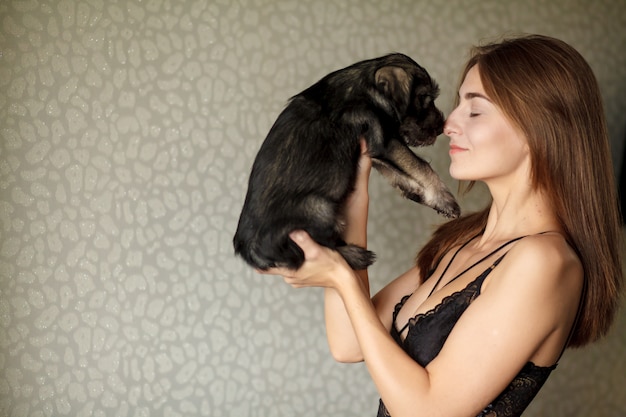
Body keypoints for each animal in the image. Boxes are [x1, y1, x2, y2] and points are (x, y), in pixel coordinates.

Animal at [233, 52, 458, 270]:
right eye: (423, 97)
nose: (441, 127)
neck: (365, 89)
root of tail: (249, 251)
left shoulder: (373, 151)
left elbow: (398, 173)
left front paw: (420, 193)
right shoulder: (386, 141)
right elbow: (420, 165)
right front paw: (446, 200)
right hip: (319, 207)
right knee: (322, 246)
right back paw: (356, 255)